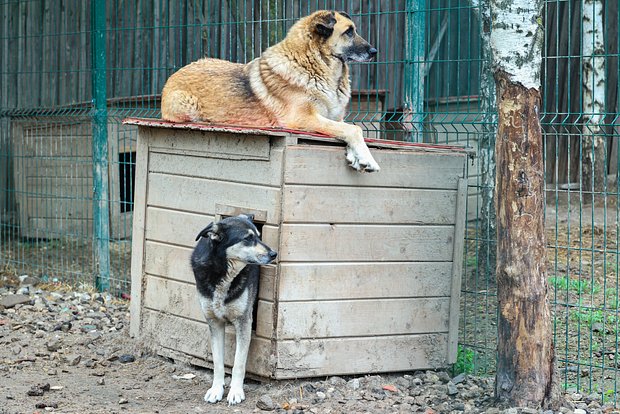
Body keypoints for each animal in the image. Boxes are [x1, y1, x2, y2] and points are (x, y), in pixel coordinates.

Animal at [160, 10, 380, 171]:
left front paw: (356, 156)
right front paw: (368, 159)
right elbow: (354, 129)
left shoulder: (334, 118)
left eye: (354, 30)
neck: (316, 65)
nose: (374, 52)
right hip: (186, 104)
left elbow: (347, 128)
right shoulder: (302, 118)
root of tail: (175, 74)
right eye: (348, 32)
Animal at [189, 215, 276, 406]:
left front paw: (235, 392)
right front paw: (216, 390)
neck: (223, 272)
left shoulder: (244, 322)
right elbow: (218, 363)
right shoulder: (214, 322)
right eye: (248, 238)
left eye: (259, 236)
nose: (274, 253)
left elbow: (238, 363)